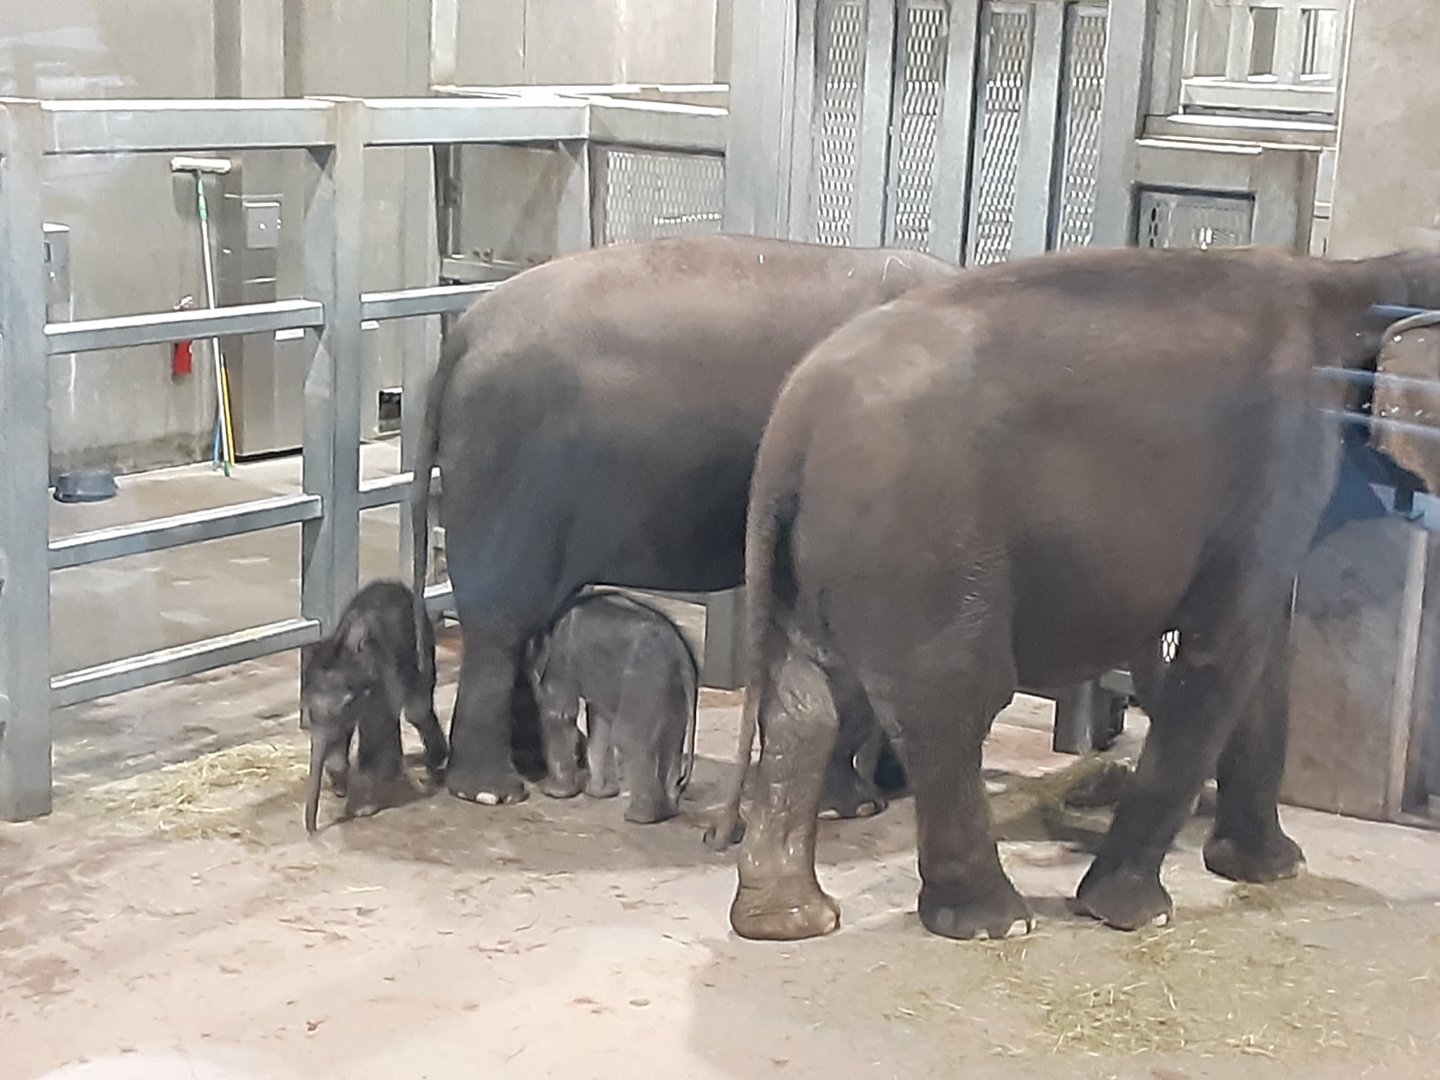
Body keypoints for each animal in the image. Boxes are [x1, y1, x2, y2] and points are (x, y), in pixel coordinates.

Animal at [708, 245, 1440, 942]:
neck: (1354, 275)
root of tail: (791, 427)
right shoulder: (1284, 454)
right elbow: (1225, 650)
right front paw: (1130, 914)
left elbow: (1263, 649)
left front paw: (1272, 869)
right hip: (922, 540)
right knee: (955, 700)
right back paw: (996, 922)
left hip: (824, 550)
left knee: (806, 702)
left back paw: (791, 921)